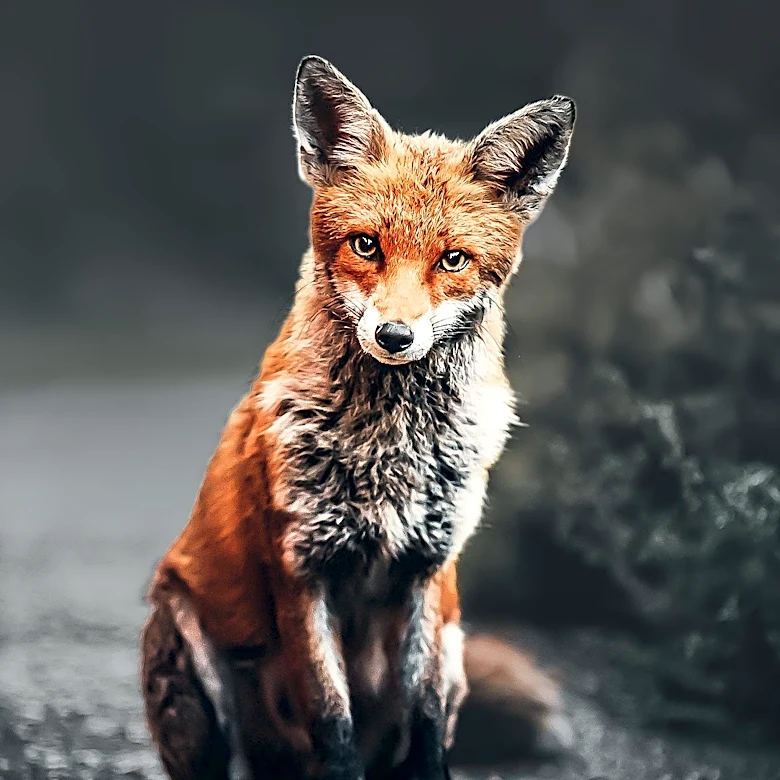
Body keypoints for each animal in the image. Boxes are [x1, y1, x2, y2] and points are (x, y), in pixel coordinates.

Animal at [140, 55, 576, 780]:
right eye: (366, 245)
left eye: (452, 259)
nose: (395, 336)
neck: (389, 448)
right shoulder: (301, 568)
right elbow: (331, 719)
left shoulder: (430, 568)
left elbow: (425, 720)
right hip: (189, 647)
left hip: (455, 641)